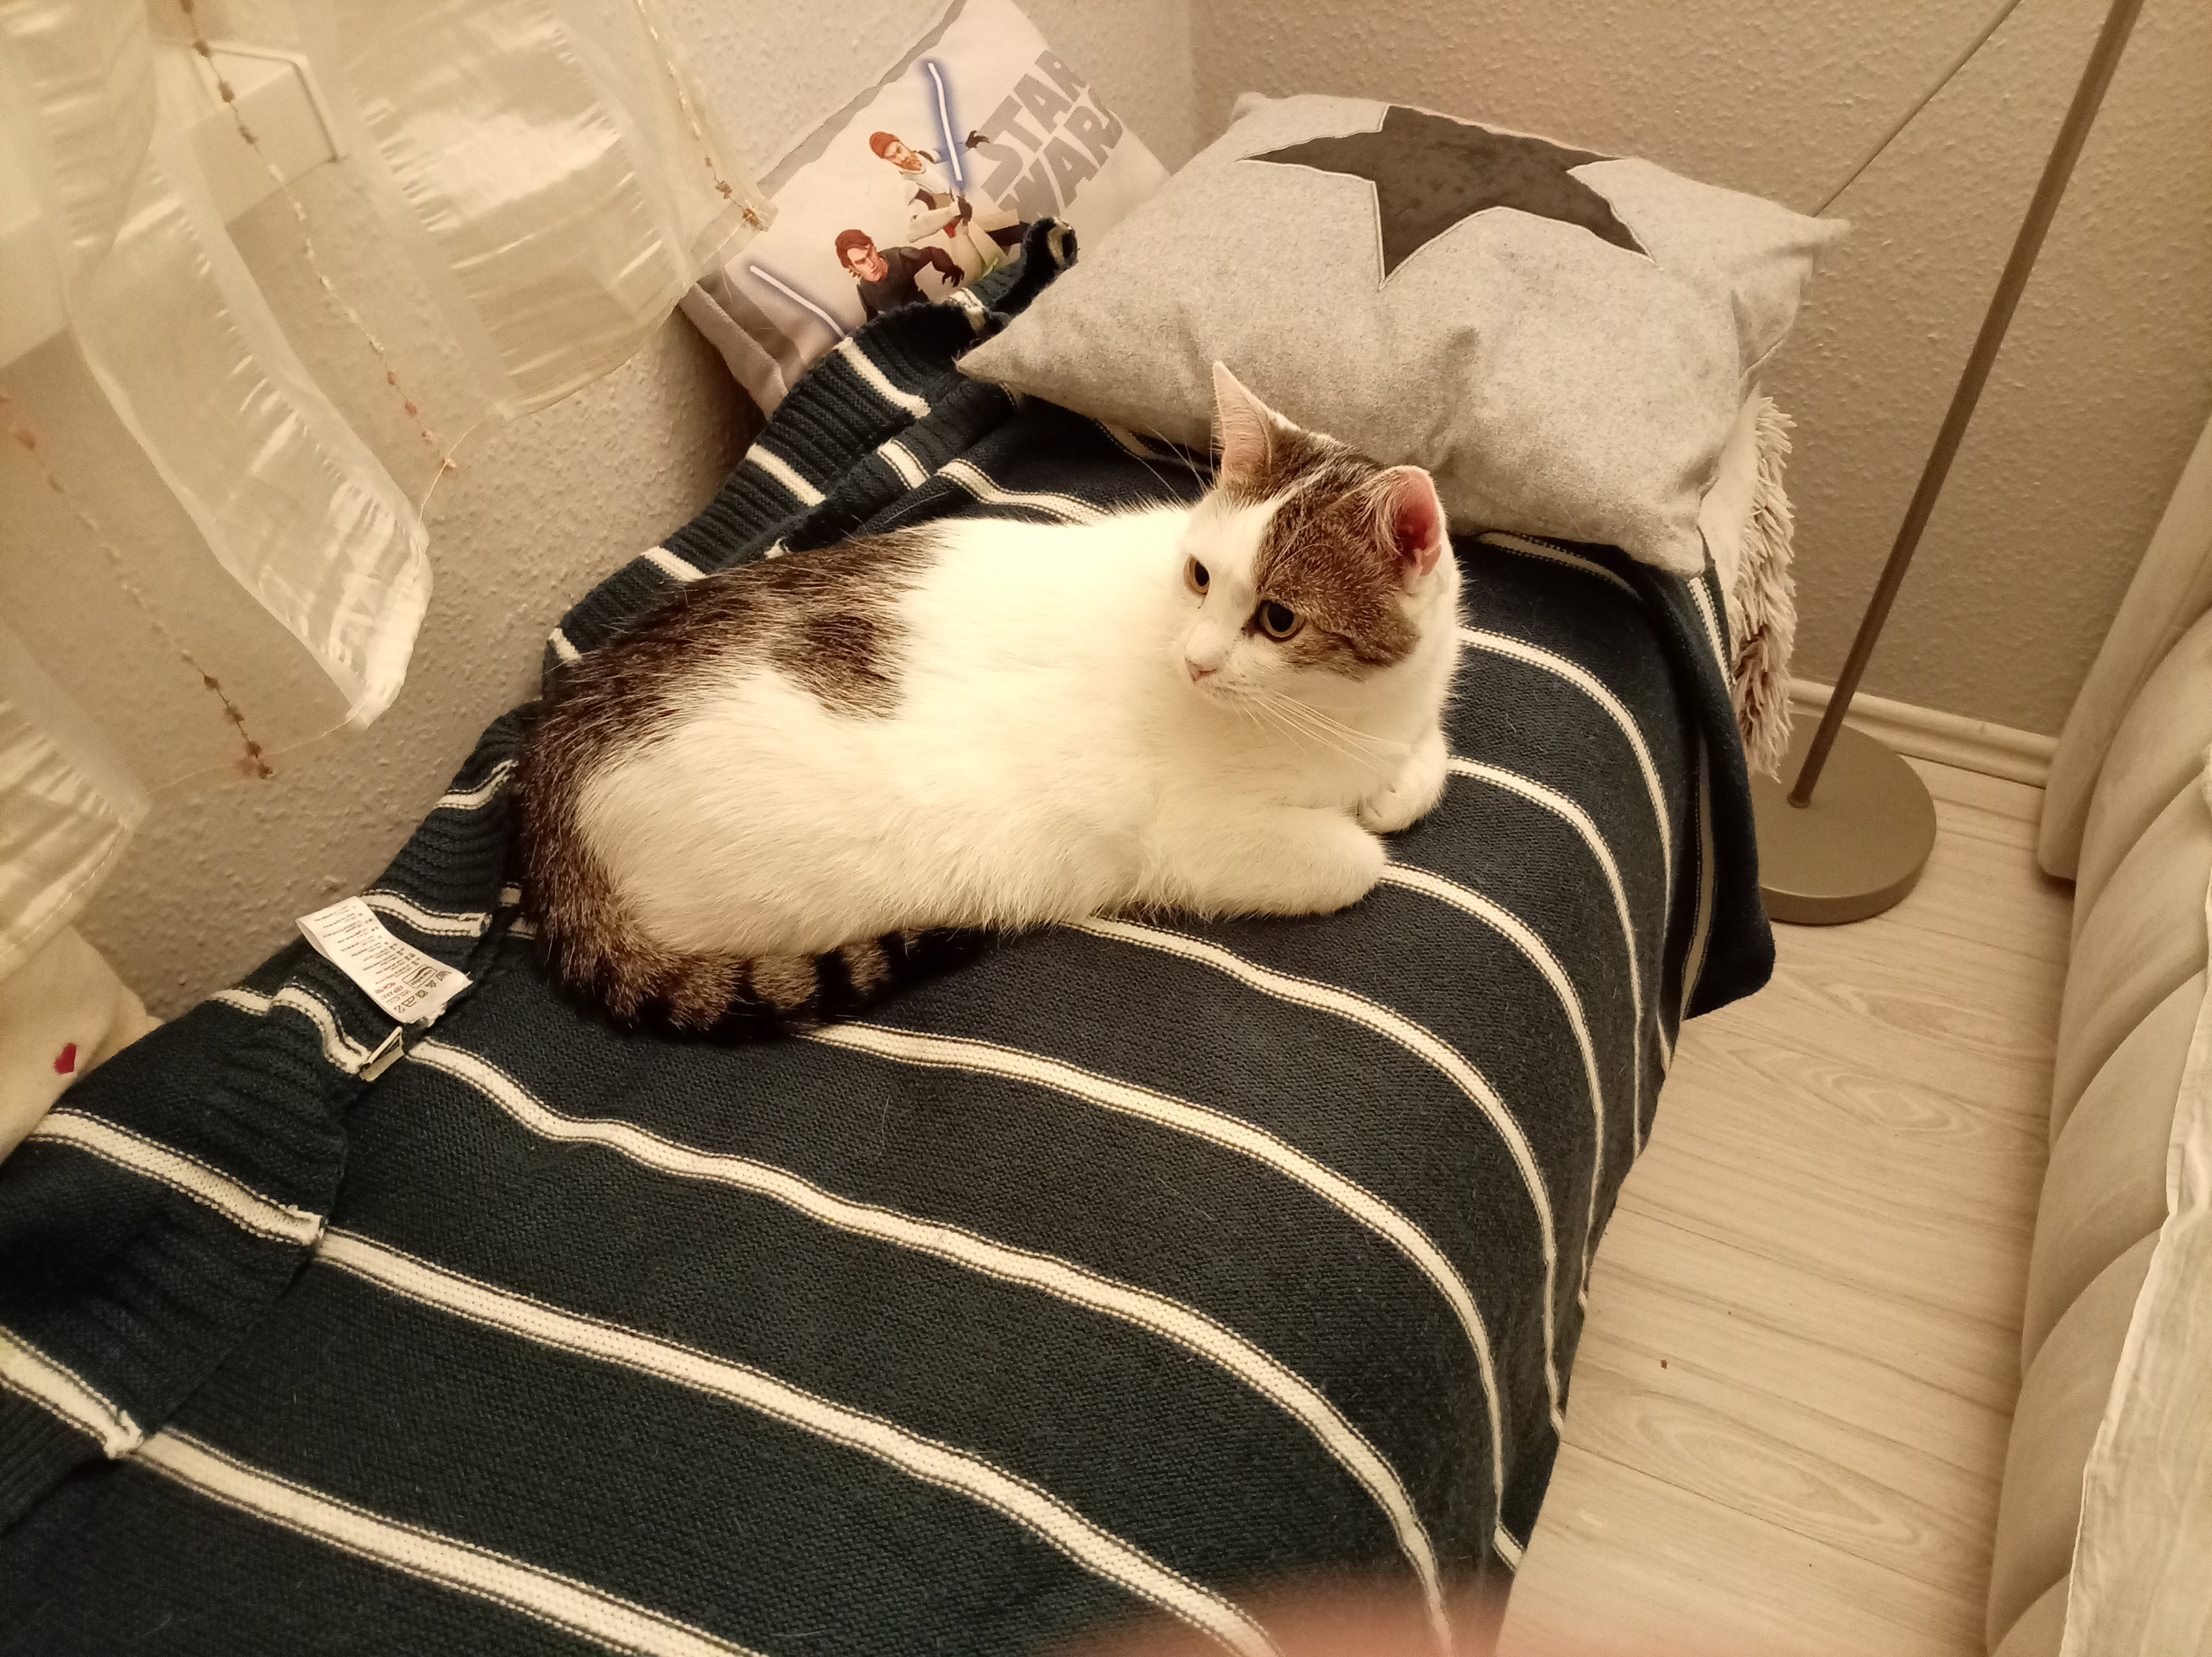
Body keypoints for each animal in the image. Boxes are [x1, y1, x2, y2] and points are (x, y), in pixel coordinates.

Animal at [514, 364, 1462, 1029]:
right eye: (1199, 577)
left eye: (1277, 619)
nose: (1194, 662)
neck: (1348, 717)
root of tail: (554, 750)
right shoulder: (1188, 839)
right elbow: (1358, 860)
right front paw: (1362, 823)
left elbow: (1427, 768)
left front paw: (1396, 784)